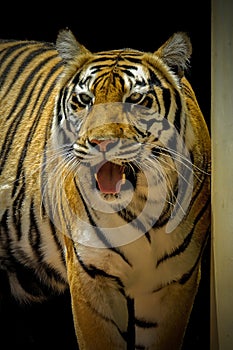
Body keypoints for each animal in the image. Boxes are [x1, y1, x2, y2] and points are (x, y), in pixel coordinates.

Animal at [0, 28, 210, 348]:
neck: (141, 205)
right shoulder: (91, 275)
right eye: (84, 100)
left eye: (135, 99)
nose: (101, 142)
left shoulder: (174, 281)